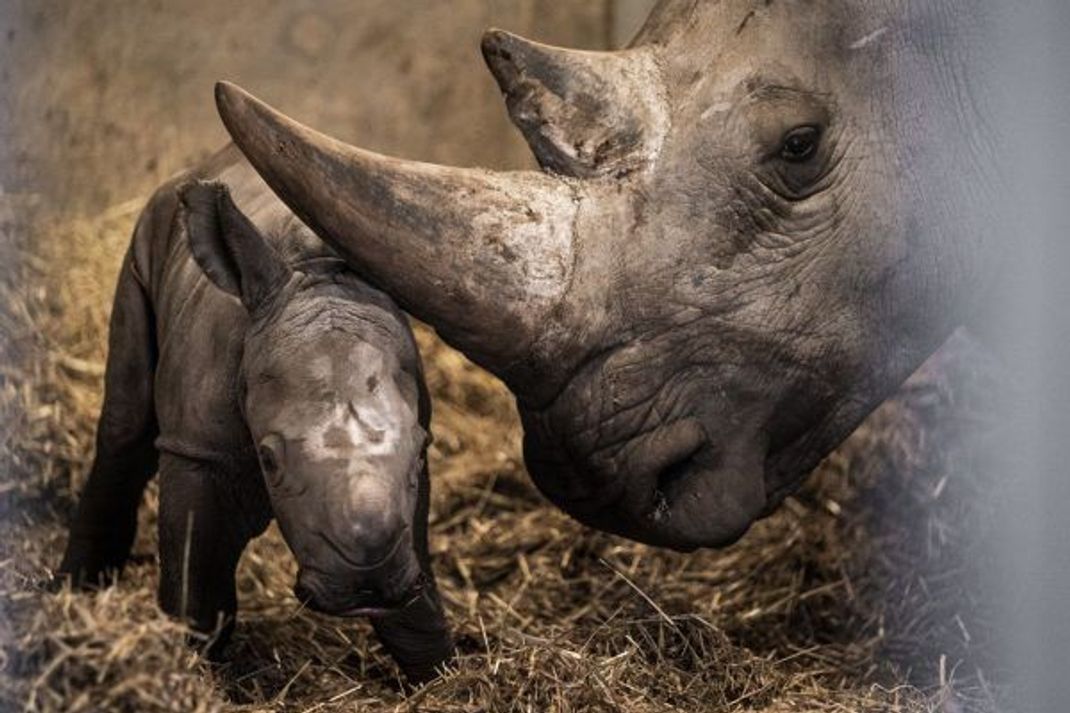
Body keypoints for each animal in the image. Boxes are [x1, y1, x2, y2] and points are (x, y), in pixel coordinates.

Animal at [58, 148, 451, 676]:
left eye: (422, 449)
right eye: (268, 460)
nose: (366, 583)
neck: (314, 270)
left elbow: (417, 606)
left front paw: (439, 674)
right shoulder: (197, 450)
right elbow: (198, 598)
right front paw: (192, 672)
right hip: (143, 241)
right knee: (126, 428)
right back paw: (73, 591)